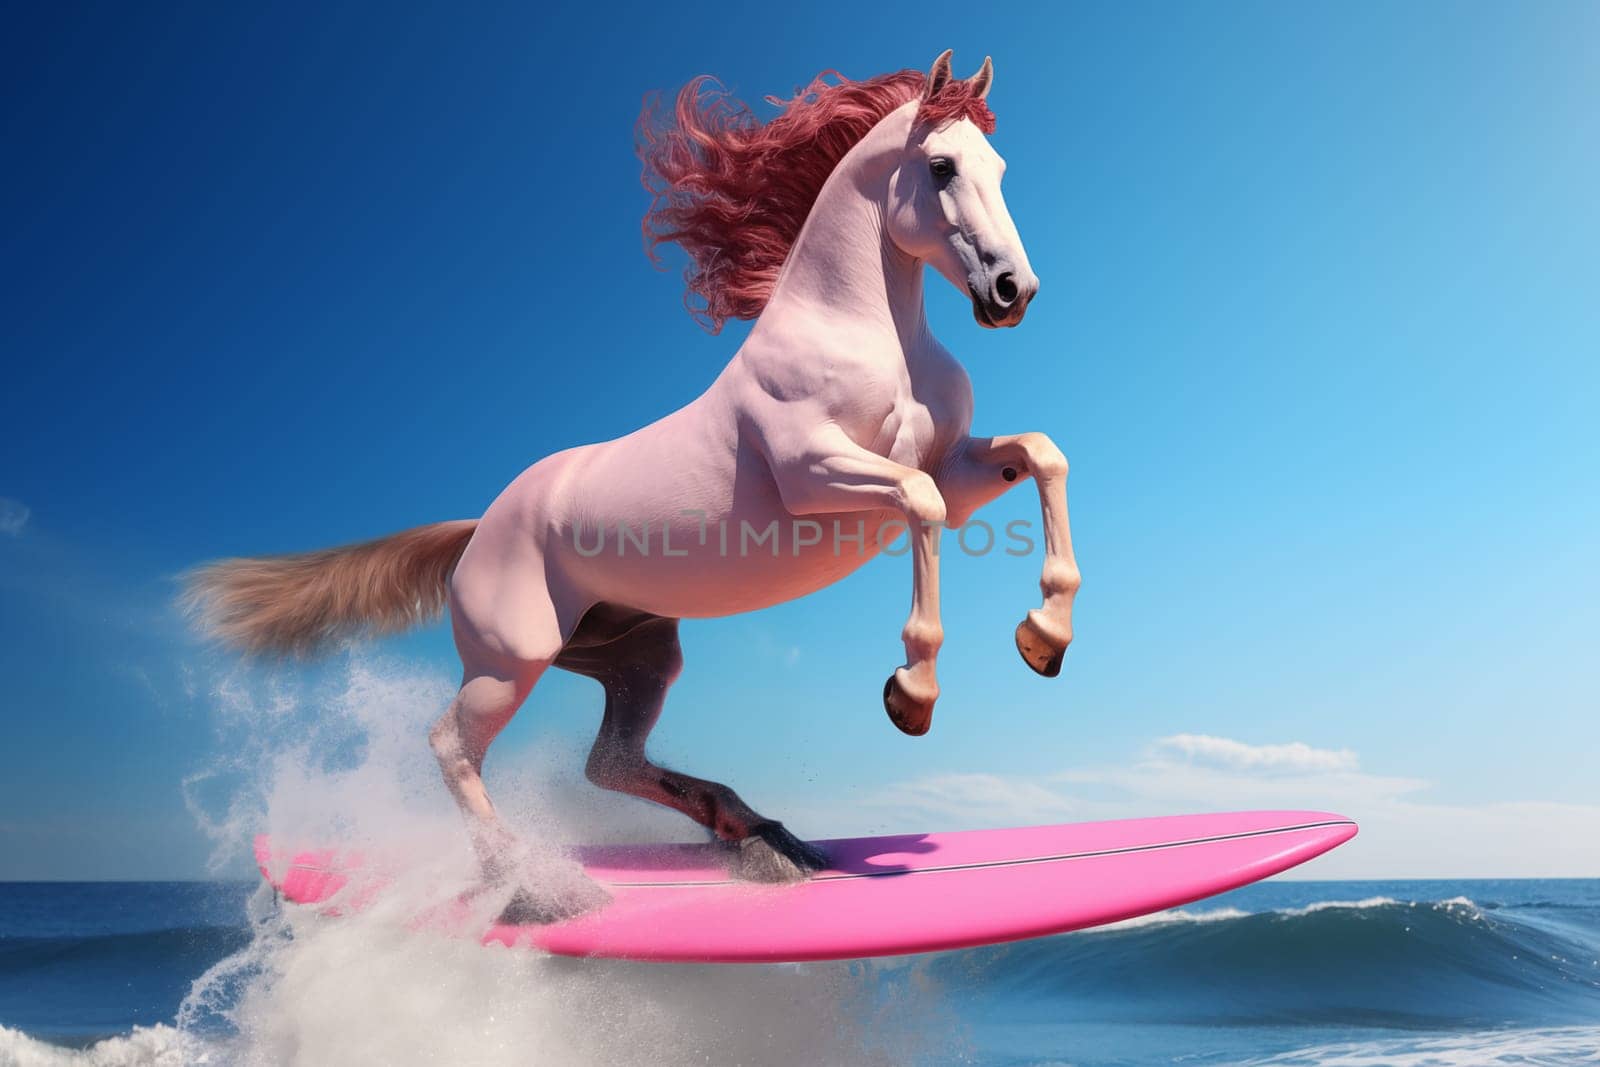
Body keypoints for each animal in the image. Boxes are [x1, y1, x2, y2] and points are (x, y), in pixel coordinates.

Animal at [190, 47, 1088, 921]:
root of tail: (479, 527)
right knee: (453, 746)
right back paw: (539, 886)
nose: (1013, 292)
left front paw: (1044, 637)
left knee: (610, 762)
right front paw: (912, 694)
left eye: (1000, 167)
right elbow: (920, 503)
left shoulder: (957, 466)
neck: (869, 334)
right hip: (512, 659)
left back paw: (759, 833)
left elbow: (1041, 455)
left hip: (639, 656)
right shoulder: (815, 474)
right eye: (940, 166)